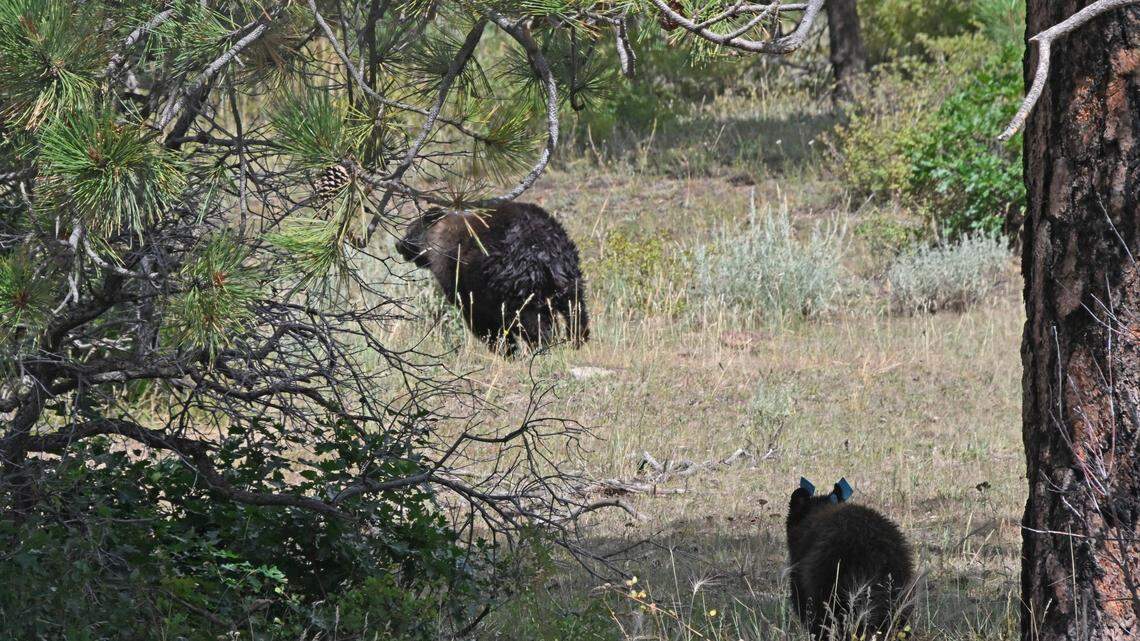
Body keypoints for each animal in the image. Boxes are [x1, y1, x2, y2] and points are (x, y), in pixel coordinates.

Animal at [395, 201, 589, 355]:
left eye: (409, 229)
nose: (399, 244)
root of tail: (543, 247)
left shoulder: (463, 283)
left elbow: (483, 322)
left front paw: (506, 349)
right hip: (568, 272)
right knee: (575, 309)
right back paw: (577, 341)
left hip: (517, 284)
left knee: (533, 320)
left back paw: (541, 346)